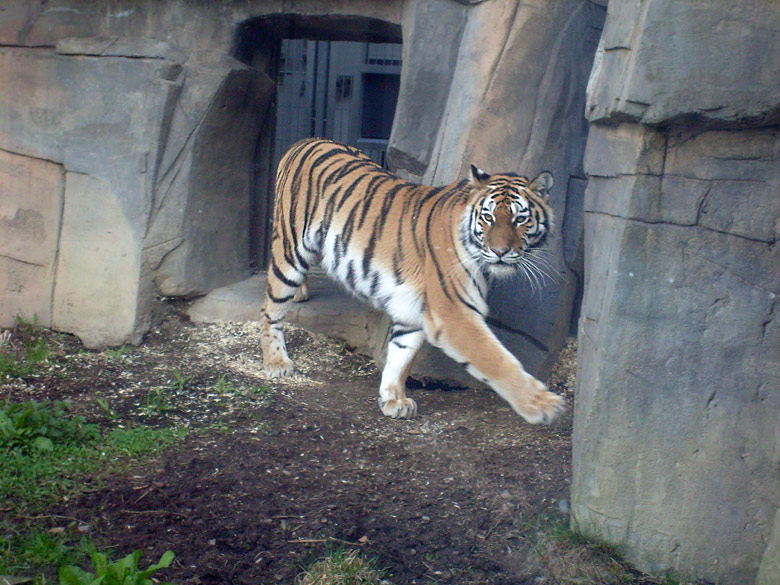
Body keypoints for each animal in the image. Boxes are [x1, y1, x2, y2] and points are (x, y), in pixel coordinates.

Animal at [264, 138, 568, 424]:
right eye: (488, 217)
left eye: (520, 219)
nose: (501, 251)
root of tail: (304, 141)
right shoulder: (453, 313)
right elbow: (497, 359)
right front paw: (543, 405)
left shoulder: (414, 310)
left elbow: (401, 355)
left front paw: (394, 399)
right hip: (289, 251)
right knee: (271, 311)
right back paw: (276, 361)